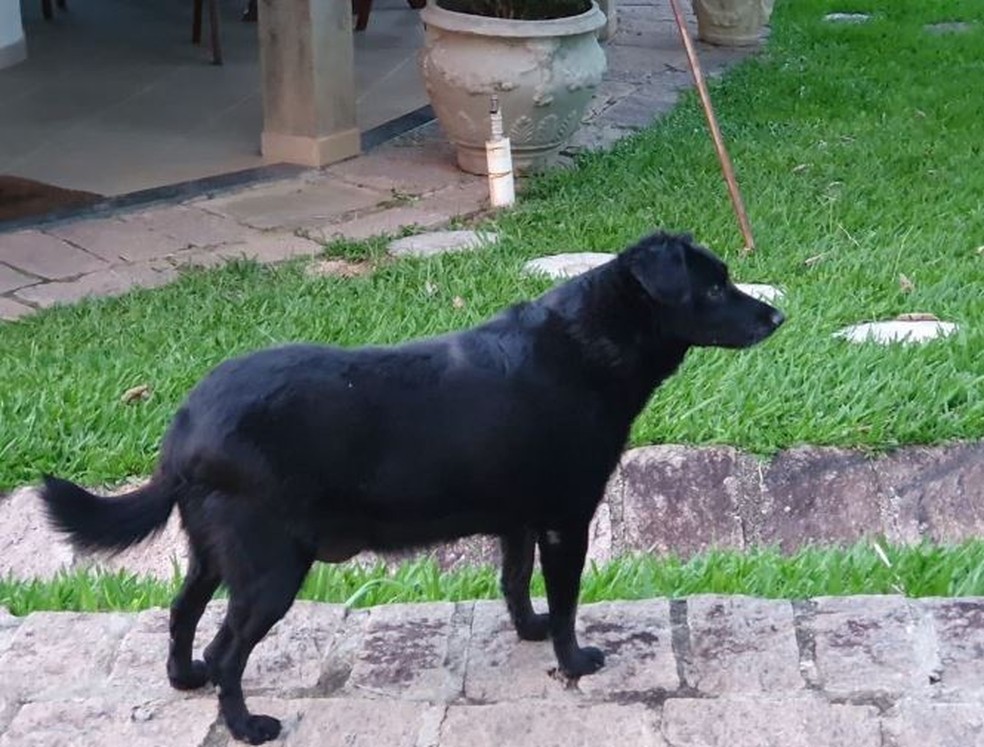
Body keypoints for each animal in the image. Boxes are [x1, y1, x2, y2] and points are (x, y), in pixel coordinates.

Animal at [42, 231, 784, 744]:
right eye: (713, 289)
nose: (776, 318)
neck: (588, 342)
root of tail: (186, 426)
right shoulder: (564, 519)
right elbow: (567, 598)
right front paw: (573, 658)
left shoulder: (518, 519)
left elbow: (516, 581)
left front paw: (530, 631)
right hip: (271, 567)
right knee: (228, 649)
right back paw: (248, 726)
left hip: (214, 552)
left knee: (180, 612)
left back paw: (185, 678)